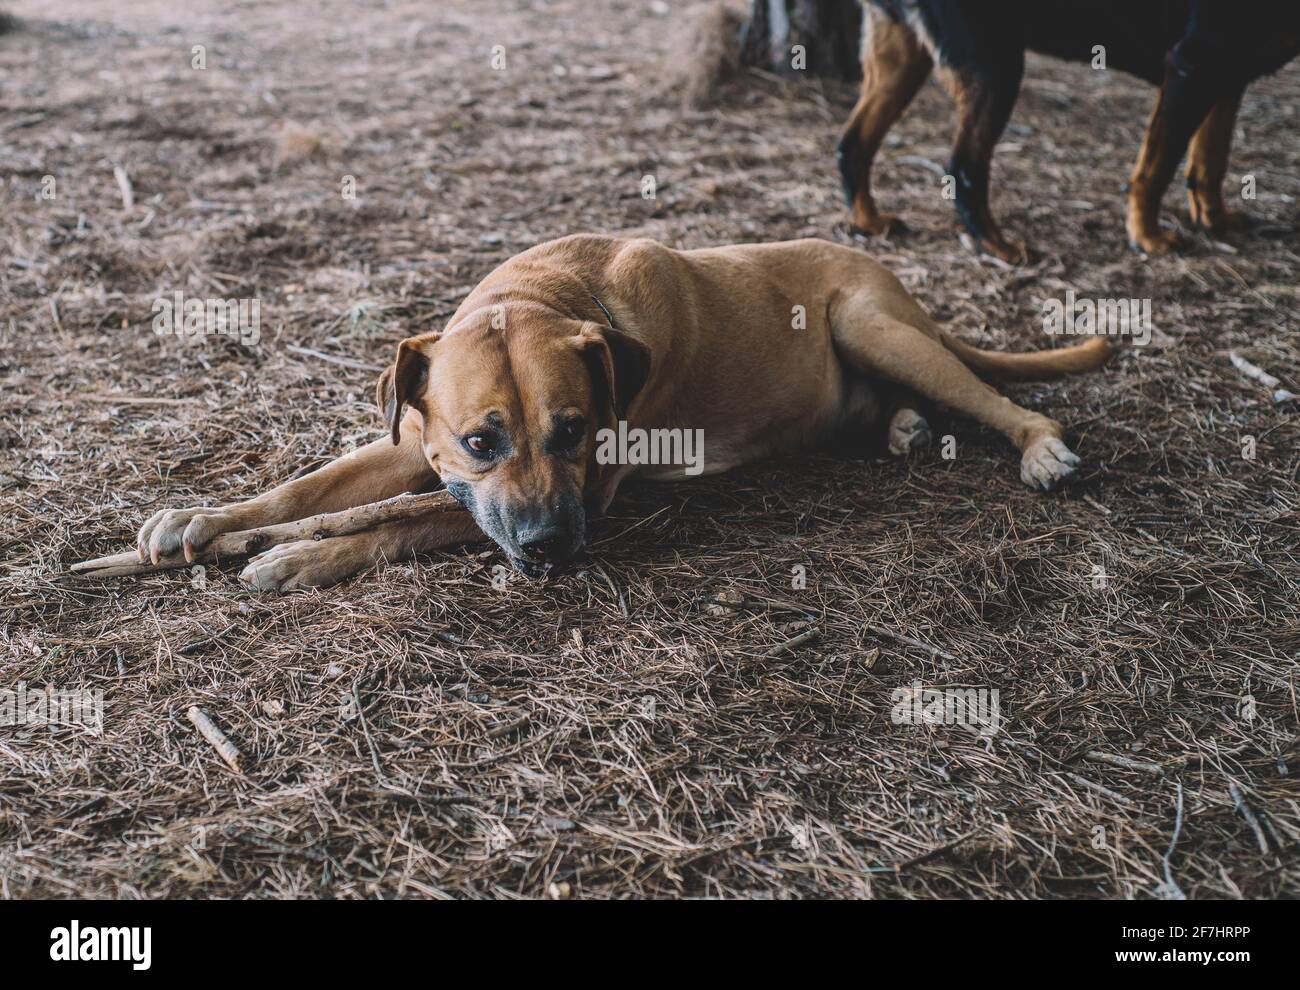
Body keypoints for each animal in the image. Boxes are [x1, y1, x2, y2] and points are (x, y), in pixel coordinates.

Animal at [137, 233, 1107, 587]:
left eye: (575, 432)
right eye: (479, 441)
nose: (548, 549)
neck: (549, 292)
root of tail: (901, 288)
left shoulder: (593, 491)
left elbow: (406, 522)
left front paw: (301, 558)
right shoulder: (416, 444)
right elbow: (306, 489)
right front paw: (207, 519)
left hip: (870, 324)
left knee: (1000, 400)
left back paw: (1040, 449)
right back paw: (902, 425)